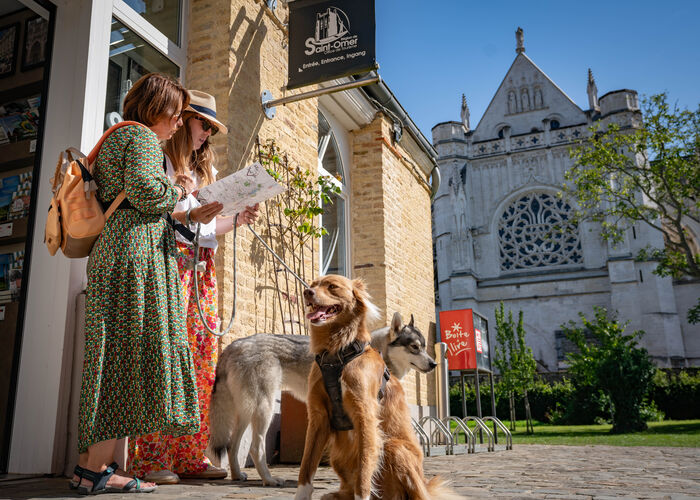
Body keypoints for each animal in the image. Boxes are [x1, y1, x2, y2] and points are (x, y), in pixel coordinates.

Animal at [209, 312, 438, 484]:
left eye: (424, 347)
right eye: (415, 347)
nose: (434, 364)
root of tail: (233, 346)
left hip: (246, 414)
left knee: (232, 446)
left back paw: (237, 475)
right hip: (264, 411)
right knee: (256, 449)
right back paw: (270, 480)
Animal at [292, 276, 456, 500]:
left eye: (332, 286)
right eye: (313, 284)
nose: (307, 292)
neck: (336, 354)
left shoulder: (365, 415)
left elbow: (364, 471)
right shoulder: (318, 417)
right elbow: (306, 466)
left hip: (394, 447)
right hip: (337, 456)